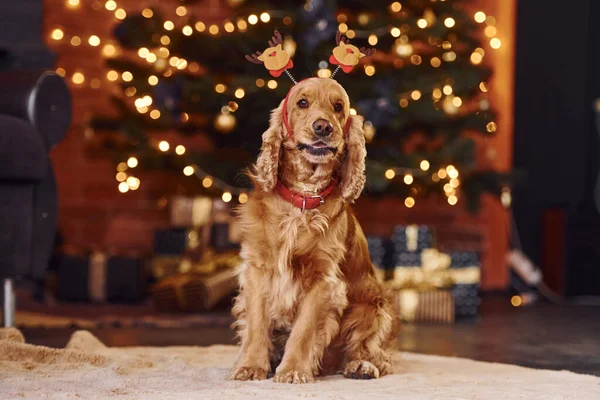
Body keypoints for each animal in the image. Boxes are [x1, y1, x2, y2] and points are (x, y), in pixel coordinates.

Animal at [232, 76, 396, 382]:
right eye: (302, 103)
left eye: (338, 106)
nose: (323, 127)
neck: (304, 195)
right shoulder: (258, 269)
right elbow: (257, 324)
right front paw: (250, 367)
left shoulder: (323, 279)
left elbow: (304, 329)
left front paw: (293, 370)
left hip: (375, 305)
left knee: (372, 350)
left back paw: (361, 366)